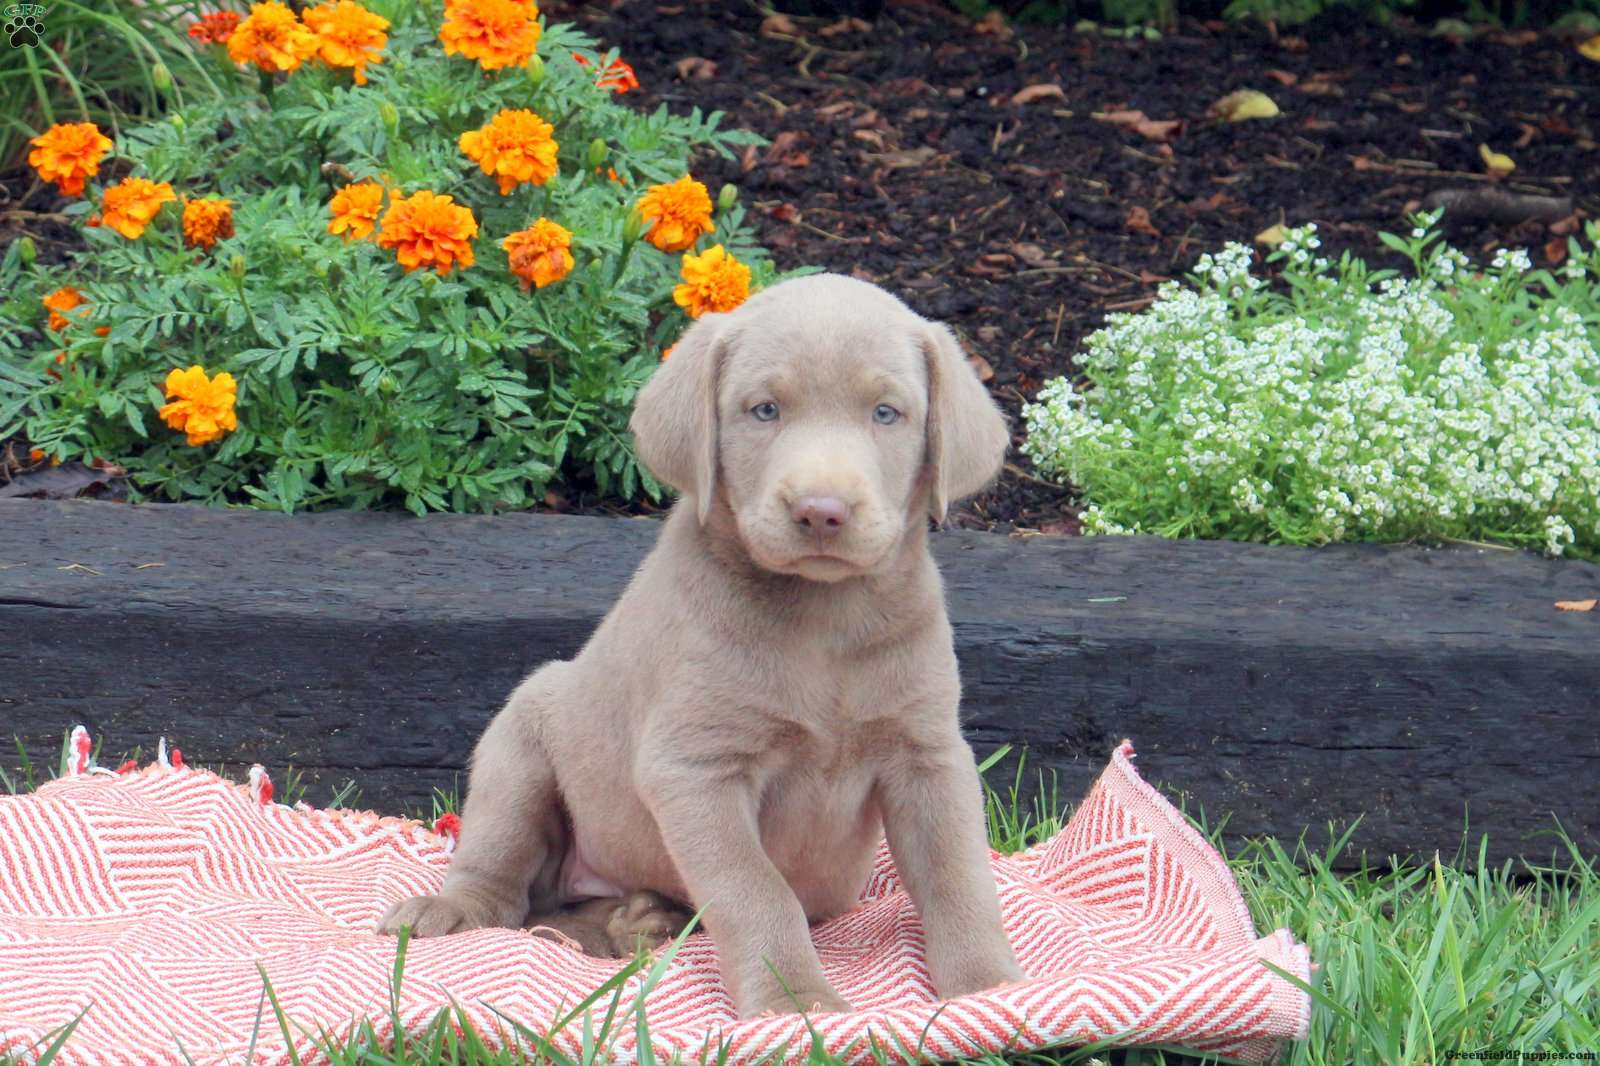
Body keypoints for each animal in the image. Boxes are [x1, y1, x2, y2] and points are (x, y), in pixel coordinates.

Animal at [380, 272, 1017, 1011]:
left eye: (887, 414)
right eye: (764, 410)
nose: (821, 512)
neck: (823, 618)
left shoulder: (928, 753)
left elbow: (956, 874)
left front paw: (988, 988)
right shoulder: (695, 769)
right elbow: (756, 889)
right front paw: (795, 1003)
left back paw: (639, 920)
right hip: (519, 746)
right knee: (508, 890)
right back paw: (455, 911)